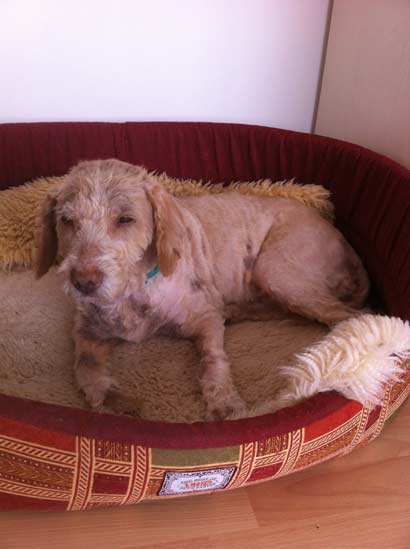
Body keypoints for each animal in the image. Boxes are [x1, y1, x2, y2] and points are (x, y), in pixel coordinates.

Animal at [35, 159, 369, 420]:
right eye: (67, 220)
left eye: (126, 219)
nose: (83, 282)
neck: (133, 291)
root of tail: (346, 244)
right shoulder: (86, 330)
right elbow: (85, 367)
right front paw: (116, 401)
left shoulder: (204, 317)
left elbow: (213, 359)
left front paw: (224, 402)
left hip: (276, 269)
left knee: (352, 315)